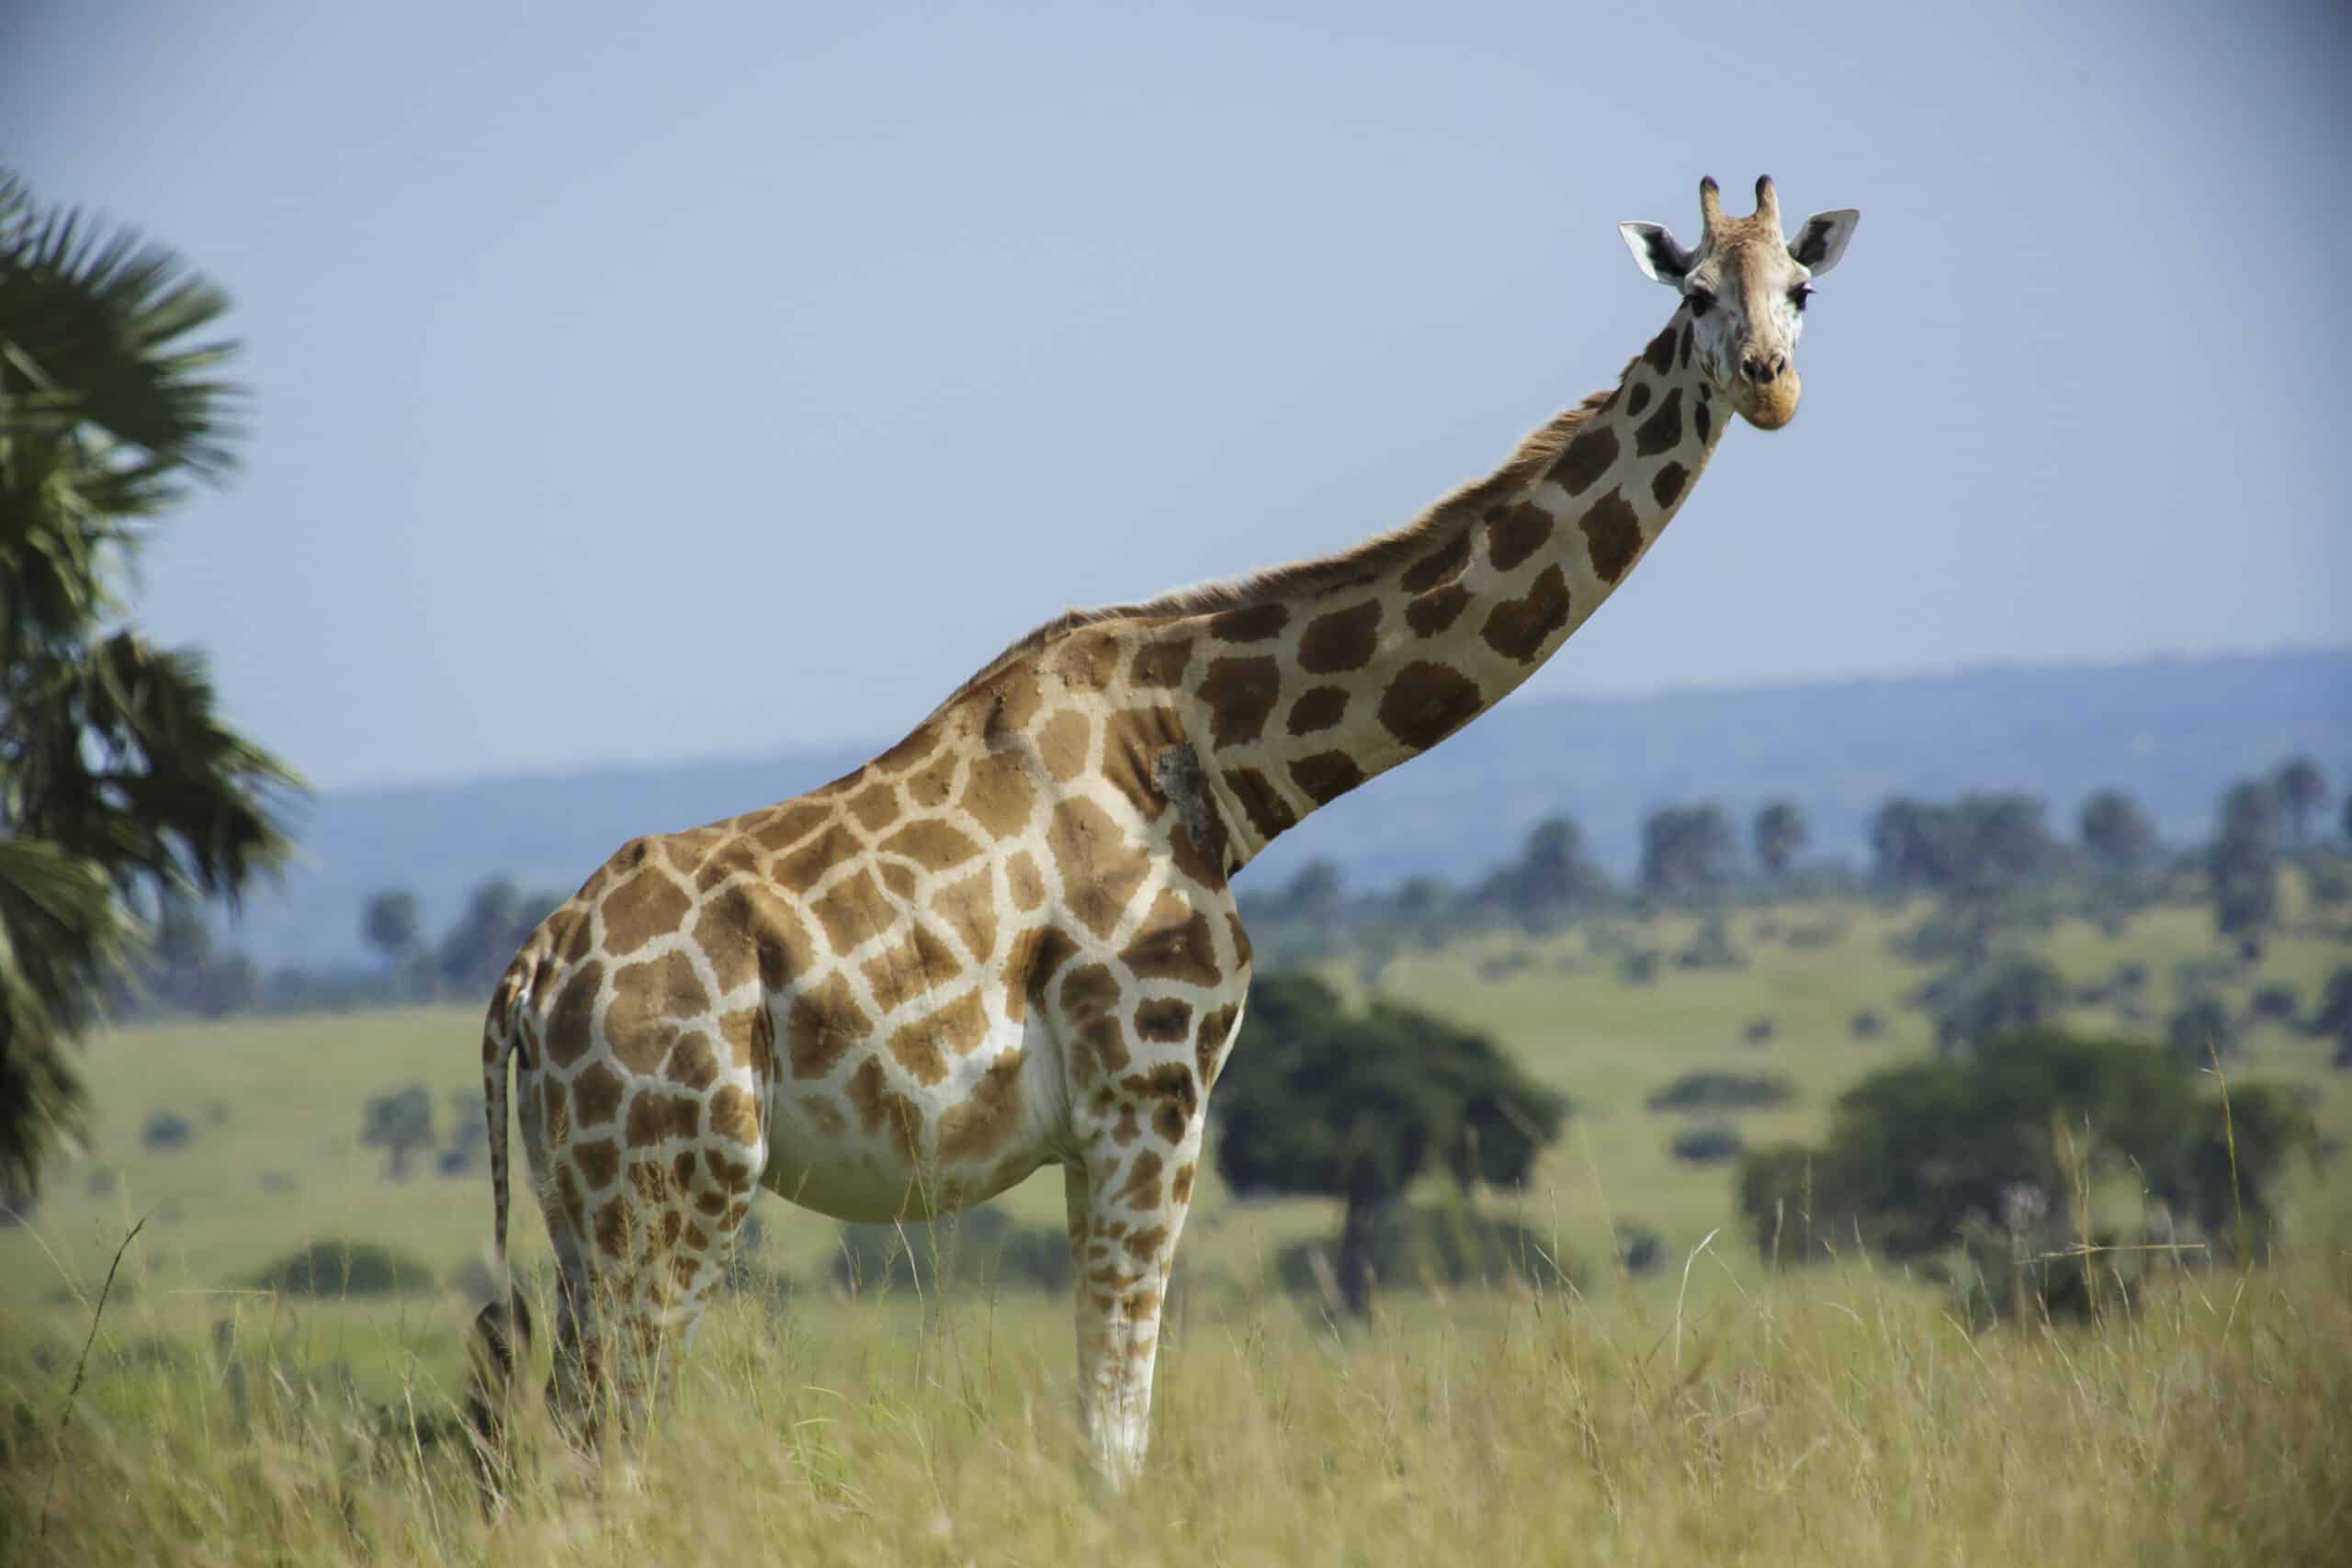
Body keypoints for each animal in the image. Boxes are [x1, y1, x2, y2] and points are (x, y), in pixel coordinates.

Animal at [467, 175, 1859, 1486]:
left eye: (1800, 288)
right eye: (1695, 295)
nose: (1771, 387)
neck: (1217, 757)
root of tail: (530, 977)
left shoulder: (1102, 1126)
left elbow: (1106, 1411)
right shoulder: (1153, 1090)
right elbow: (1116, 1425)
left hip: (585, 1204)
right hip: (676, 1185)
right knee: (606, 1442)